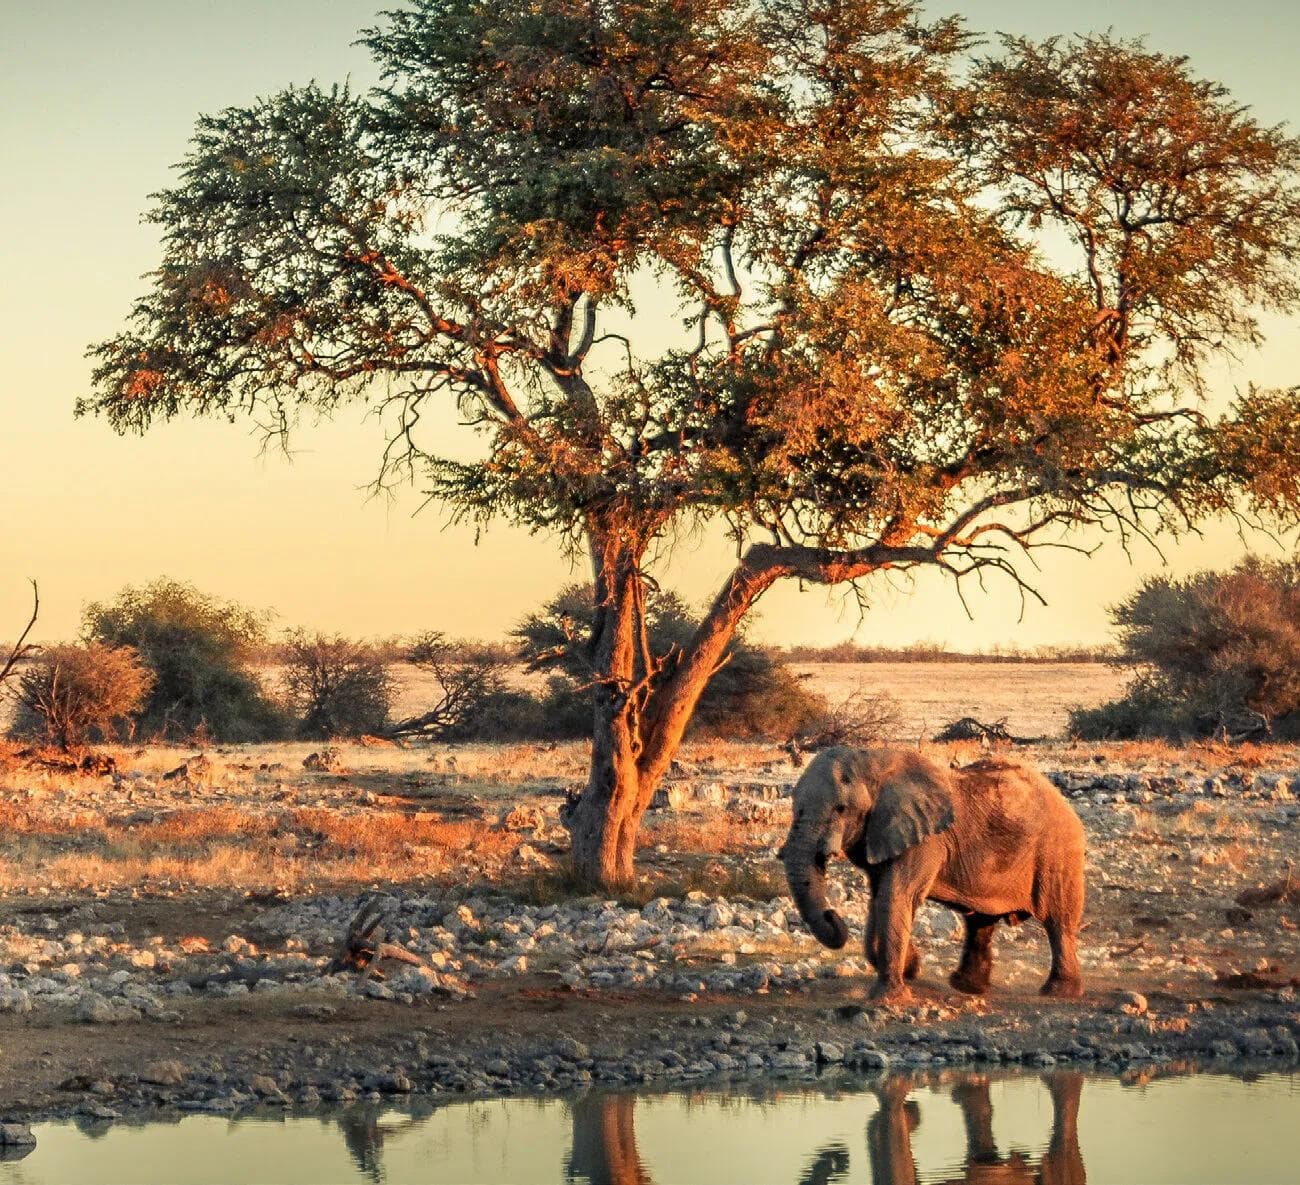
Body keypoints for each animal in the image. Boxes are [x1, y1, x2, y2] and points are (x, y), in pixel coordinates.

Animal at [779, 746, 1085, 1003]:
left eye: (841, 808)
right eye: (795, 806)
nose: (833, 915)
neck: (874, 760)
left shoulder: (925, 840)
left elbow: (897, 896)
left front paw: (888, 999)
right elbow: (880, 898)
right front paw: (911, 967)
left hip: (1058, 852)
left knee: (1058, 921)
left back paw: (1058, 992)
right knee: (979, 922)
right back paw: (967, 987)